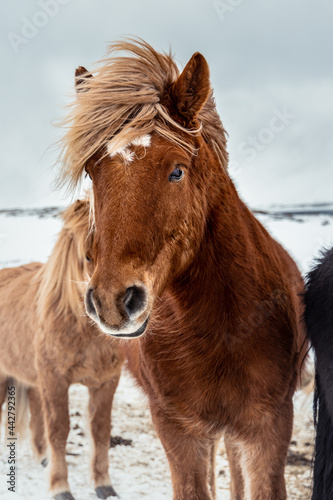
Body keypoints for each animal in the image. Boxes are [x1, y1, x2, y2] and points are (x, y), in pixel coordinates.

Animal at [0, 199, 123, 500]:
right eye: (86, 255)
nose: (110, 309)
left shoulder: (106, 382)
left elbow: (100, 431)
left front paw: (103, 484)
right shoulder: (55, 381)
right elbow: (59, 430)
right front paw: (60, 487)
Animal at [58, 40, 308, 500]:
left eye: (177, 170)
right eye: (91, 171)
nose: (112, 301)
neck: (222, 331)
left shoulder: (268, 429)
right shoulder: (178, 431)